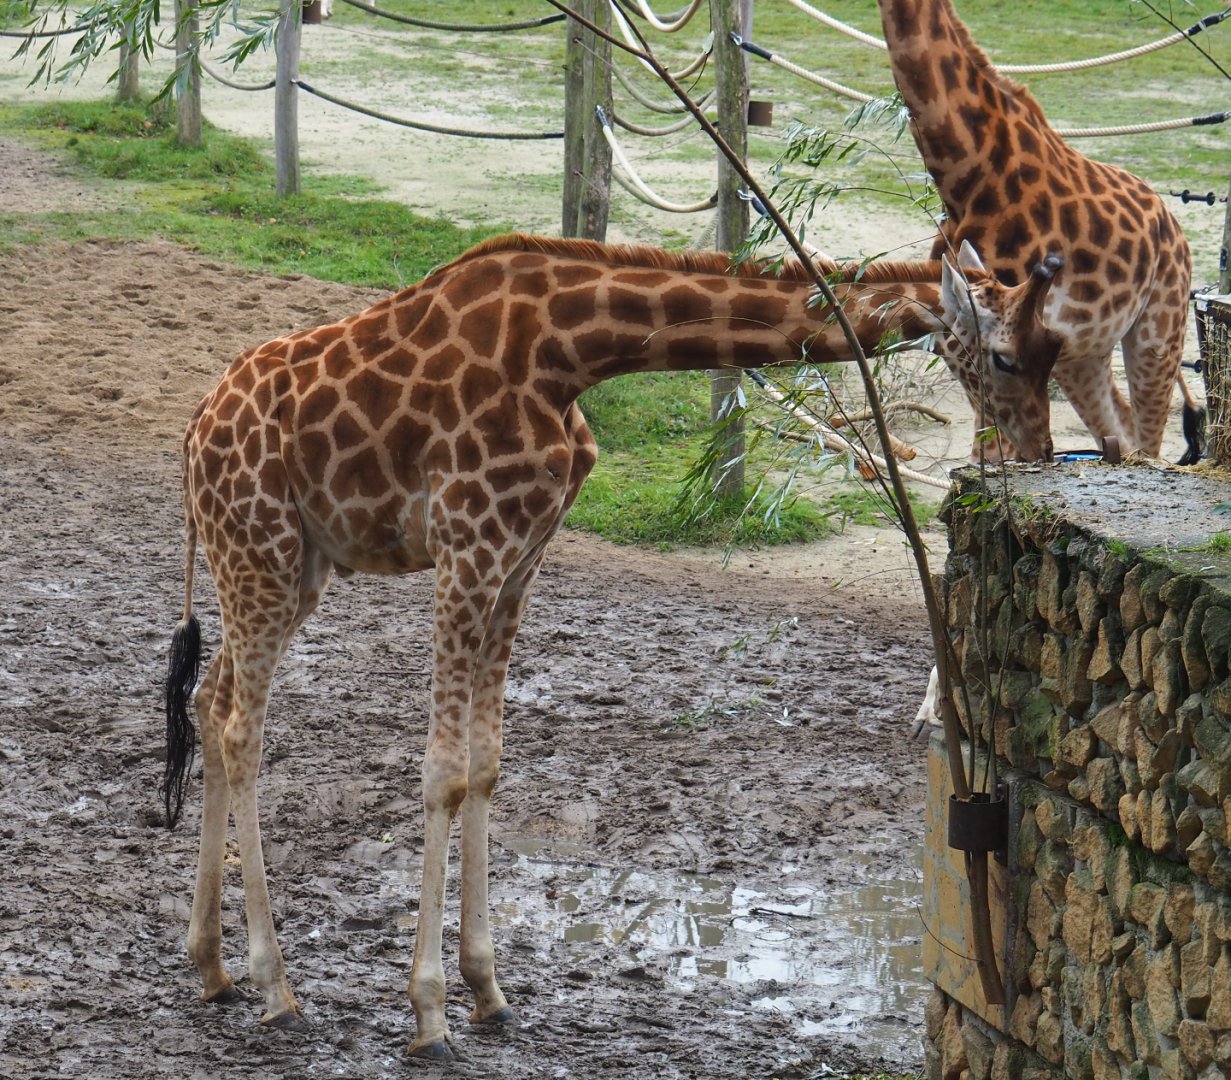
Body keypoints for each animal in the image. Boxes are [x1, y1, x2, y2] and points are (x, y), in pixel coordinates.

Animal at [161, 232, 1061, 1058]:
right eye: (1007, 356)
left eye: (1055, 346)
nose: (1038, 455)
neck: (568, 356)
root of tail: (194, 431)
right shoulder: (468, 546)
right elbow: (443, 774)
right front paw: (430, 1015)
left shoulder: (520, 559)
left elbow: (484, 764)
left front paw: (488, 991)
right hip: (262, 552)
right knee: (241, 727)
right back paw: (276, 988)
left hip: (292, 566)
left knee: (207, 699)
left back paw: (211, 967)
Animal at [877, 0, 1202, 464]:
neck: (967, 175)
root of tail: (1171, 223)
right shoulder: (969, 354)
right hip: (1083, 356)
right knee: (1121, 431)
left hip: (1159, 334)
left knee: (1149, 442)